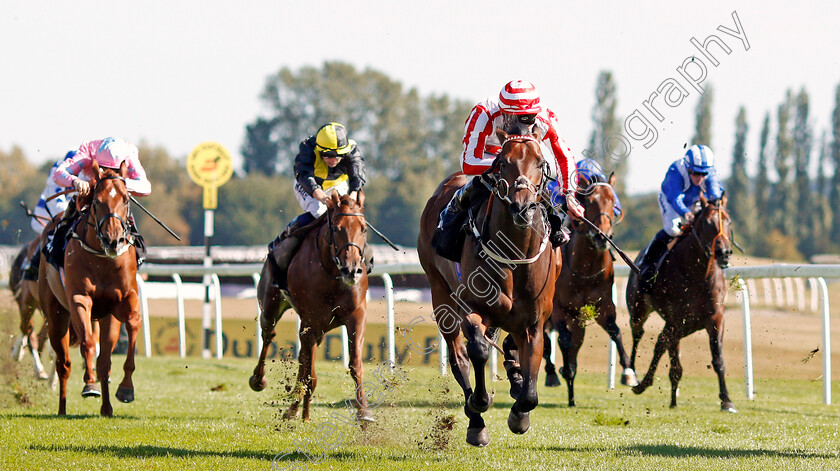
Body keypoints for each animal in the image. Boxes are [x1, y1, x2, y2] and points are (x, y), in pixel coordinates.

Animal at [37, 162, 142, 416]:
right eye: (97, 201)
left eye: (126, 200)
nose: (114, 240)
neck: (103, 260)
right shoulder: (79, 299)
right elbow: (87, 342)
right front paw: (90, 383)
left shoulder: (123, 301)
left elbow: (133, 323)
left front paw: (126, 389)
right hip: (56, 315)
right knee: (63, 363)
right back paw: (63, 407)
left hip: (105, 317)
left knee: (104, 361)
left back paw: (107, 408)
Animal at [249, 192, 374, 424]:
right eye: (336, 228)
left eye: (363, 228)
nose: (352, 270)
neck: (332, 274)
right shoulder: (310, 322)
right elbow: (310, 374)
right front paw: (297, 410)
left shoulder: (356, 316)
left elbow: (355, 364)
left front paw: (364, 413)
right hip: (270, 305)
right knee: (268, 334)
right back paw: (260, 381)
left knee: (302, 358)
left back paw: (300, 409)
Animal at [418, 129, 560, 446]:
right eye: (503, 162)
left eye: (540, 162)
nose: (523, 207)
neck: (514, 255)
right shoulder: (472, 309)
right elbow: (479, 350)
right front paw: (479, 404)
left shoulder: (535, 322)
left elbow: (531, 389)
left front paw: (520, 413)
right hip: (439, 293)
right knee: (460, 359)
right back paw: (475, 421)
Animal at [544, 173, 636, 406]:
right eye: (591, 202)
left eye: (612, 202)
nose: (602, 236)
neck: (584, 269)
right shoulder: (559, 309)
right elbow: (563, 340)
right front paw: (564, 370)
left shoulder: (603, 306)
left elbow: (615, 331)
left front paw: (629, 373)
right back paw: (554, 374)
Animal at [624, 194, 736, 412]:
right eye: (707, 223)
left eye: (728, 221)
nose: (724, 252)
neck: (698, 276)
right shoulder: (676, 320)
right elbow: (669, 355)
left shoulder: (715, 319)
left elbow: (718, 359)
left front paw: (726, 400)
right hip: (639, 310)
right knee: (639, 335)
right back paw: (632, 375)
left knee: (661, 343)